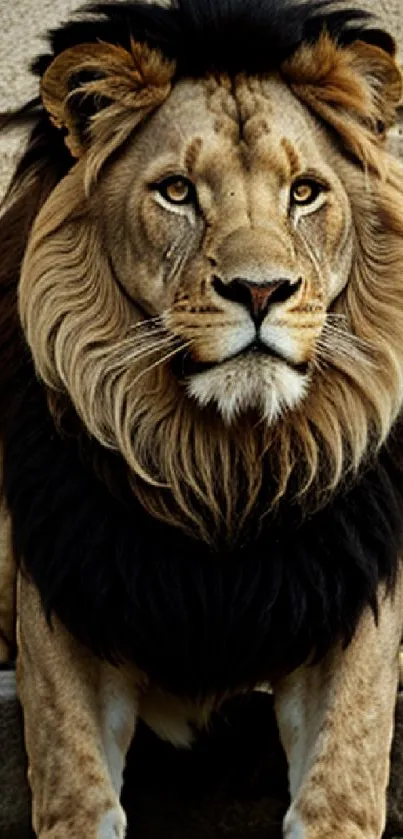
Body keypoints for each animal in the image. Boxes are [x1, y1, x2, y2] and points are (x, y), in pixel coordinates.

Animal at [0, 0, 403, 836]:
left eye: (304, 193)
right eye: (178, 192)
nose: (260, 290)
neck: (227, 465)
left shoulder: (356, 602)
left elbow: (338, 788)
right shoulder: (60, 603)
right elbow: (78, 789)